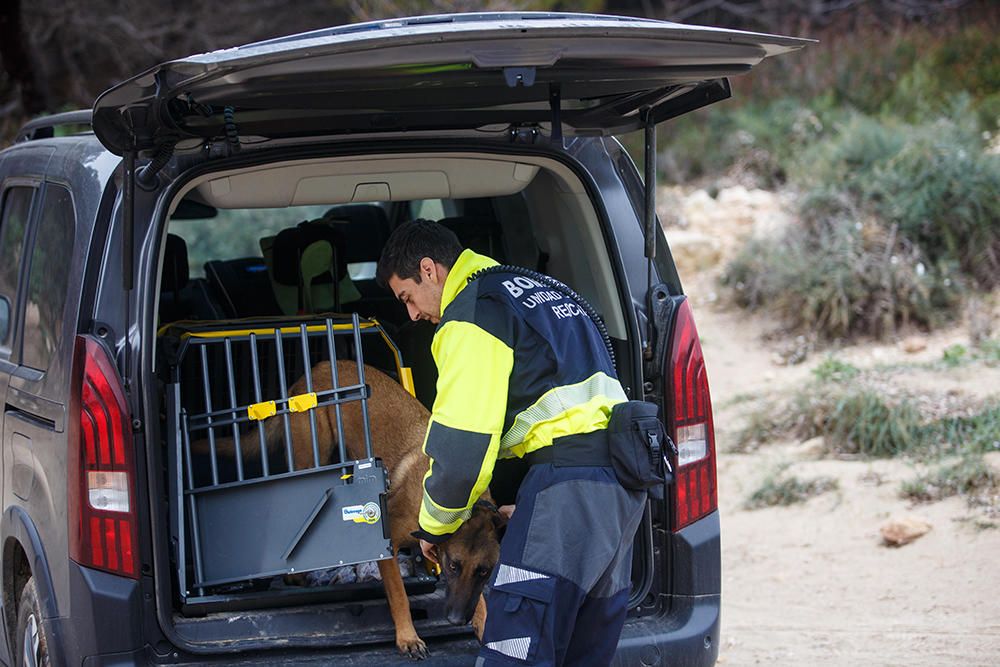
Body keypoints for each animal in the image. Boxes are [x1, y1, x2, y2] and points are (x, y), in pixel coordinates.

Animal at [193, 360, 498, 656]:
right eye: (454, 566)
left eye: (484, 571)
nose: (457, 620)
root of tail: (317, 367)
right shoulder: (388, 545)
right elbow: (399, 596)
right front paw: (407, 638)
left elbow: (481, 599)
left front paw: (485, 627)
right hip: (312, 458)